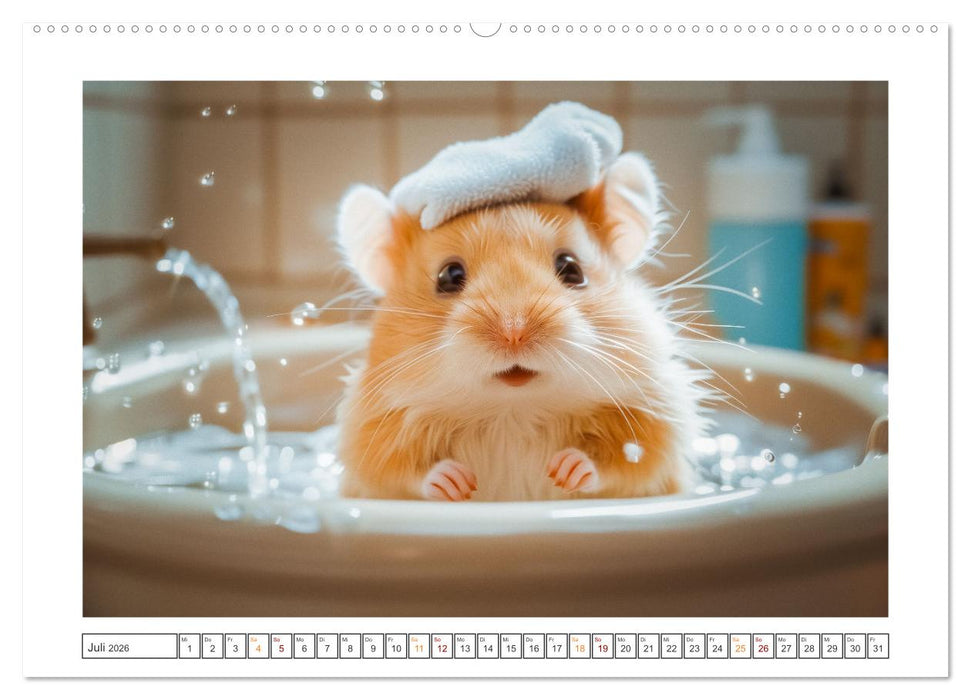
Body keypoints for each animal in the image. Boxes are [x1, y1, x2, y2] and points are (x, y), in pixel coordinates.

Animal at [333, 153, 711, 501]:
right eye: (448, 276)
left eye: (571, 269)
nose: (513, 331)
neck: (513, 411)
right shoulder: (370, 429)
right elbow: (398, 470)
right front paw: (458, 483)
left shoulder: (658, 412)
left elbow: (628, 460)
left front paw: (564, 470)